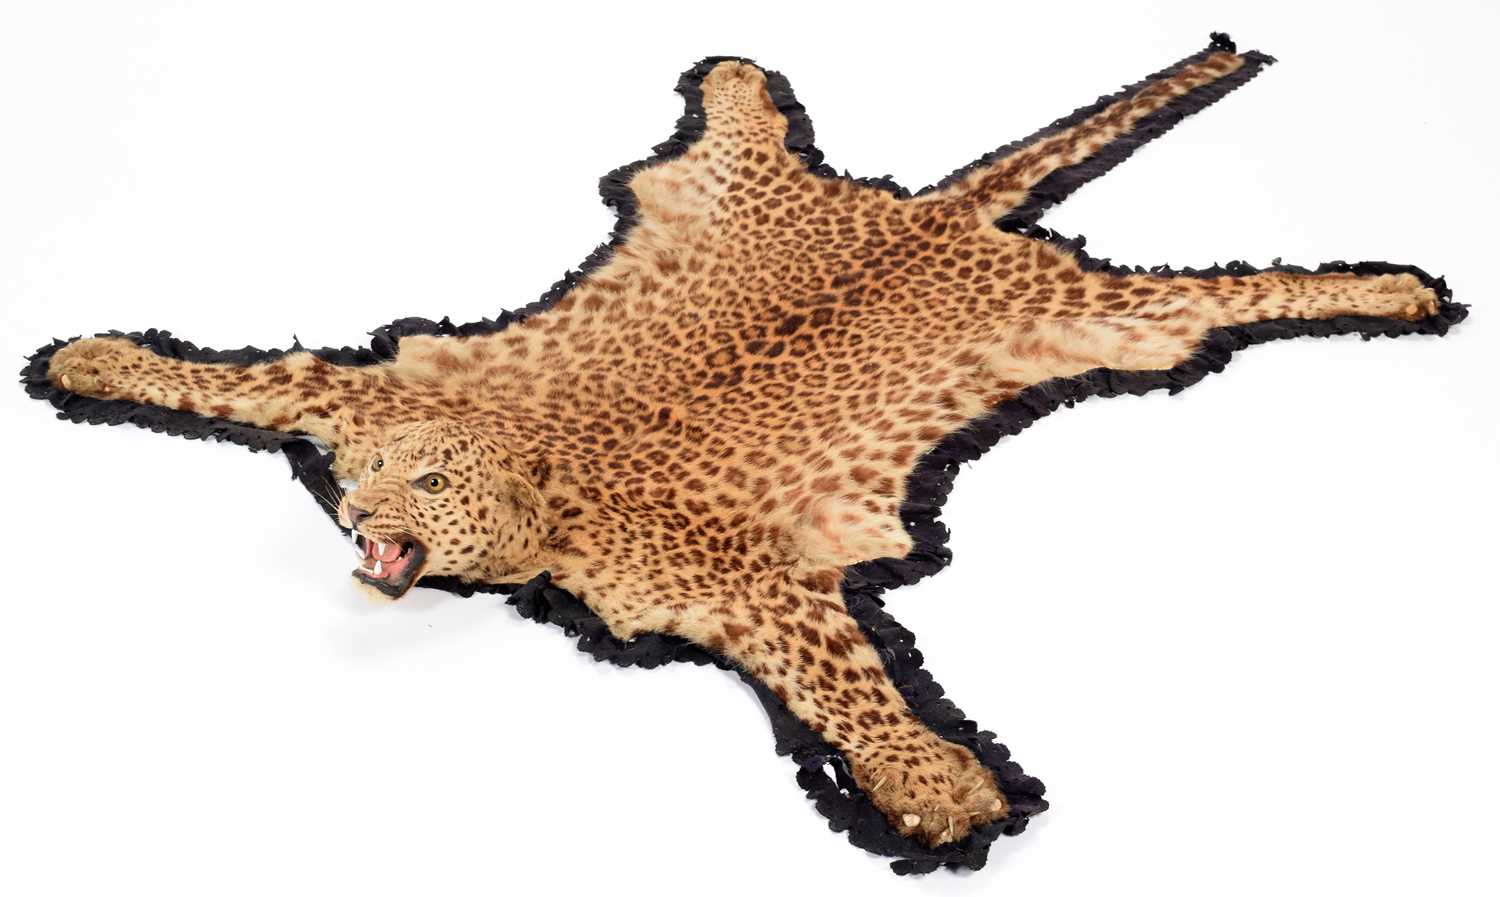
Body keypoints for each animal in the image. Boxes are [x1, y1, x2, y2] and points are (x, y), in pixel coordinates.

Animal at [35, 35, 1462, 853]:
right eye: (379, 474)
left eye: (427, 482)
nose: (351, 516)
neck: (545, 488)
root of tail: (931, 214)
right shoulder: (353, 397)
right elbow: (236, 378)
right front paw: (90, 362)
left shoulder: (761, 585)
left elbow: (848, 682)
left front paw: (937, 788)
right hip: (746, 193)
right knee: (737, 133)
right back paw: (732, 79)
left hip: (1118, 321)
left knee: (1234, 294)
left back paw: (1396, 289)